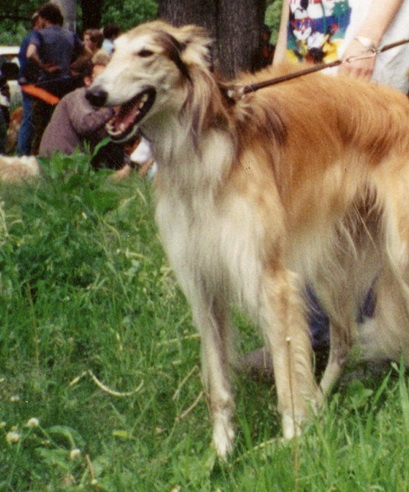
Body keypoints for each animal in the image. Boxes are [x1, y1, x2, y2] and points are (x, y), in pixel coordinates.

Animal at [86, 21, 409, 458]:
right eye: (112, 51)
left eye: (146, 53)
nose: (93, 94)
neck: (204, 157)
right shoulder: (202, 284)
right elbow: (220, 382)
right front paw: (222, 452)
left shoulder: (272, 279)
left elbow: (286, 375)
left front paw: (290, 443)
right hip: (334, 266)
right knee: (343, 339)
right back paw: (319, 404)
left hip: (396, 253)